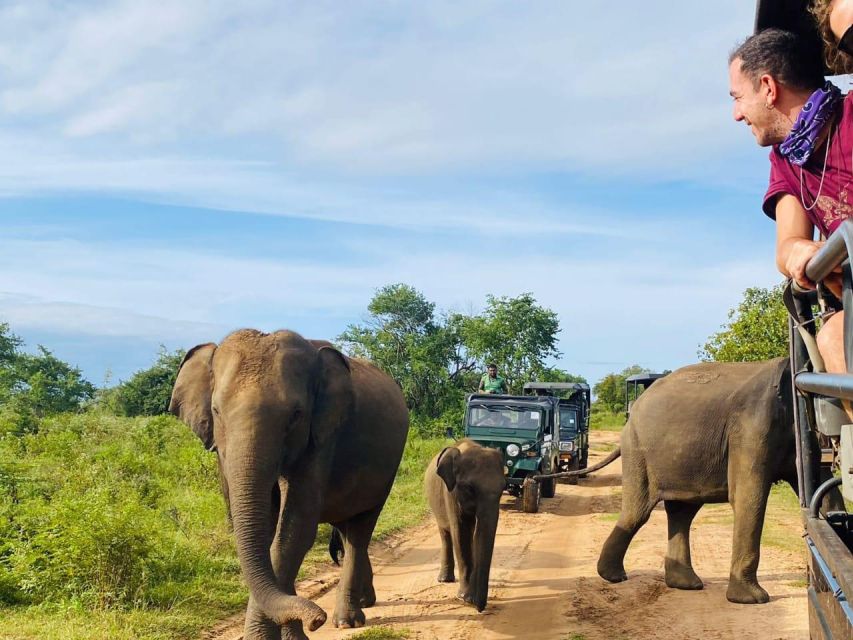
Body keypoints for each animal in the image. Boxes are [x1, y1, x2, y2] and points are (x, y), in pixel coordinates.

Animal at [168, 330, 408, 640]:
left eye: (296, 414)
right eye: (216, 411)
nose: (317, 619)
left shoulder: (322, 438)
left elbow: (293, 531)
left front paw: (273, 636)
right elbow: (262, 527)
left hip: (386, 471)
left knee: (359, 530)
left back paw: (347, 620)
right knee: (346, 531)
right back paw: (364, 601)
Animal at [422, 440, 502, 608]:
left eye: (503, 487)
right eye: (469, 488)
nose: (480, 608)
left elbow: (476, 533)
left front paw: (469, 597)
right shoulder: (450, 493)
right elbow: (460, 532)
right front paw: (465, 597)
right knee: (445, 533)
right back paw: (445, 580)